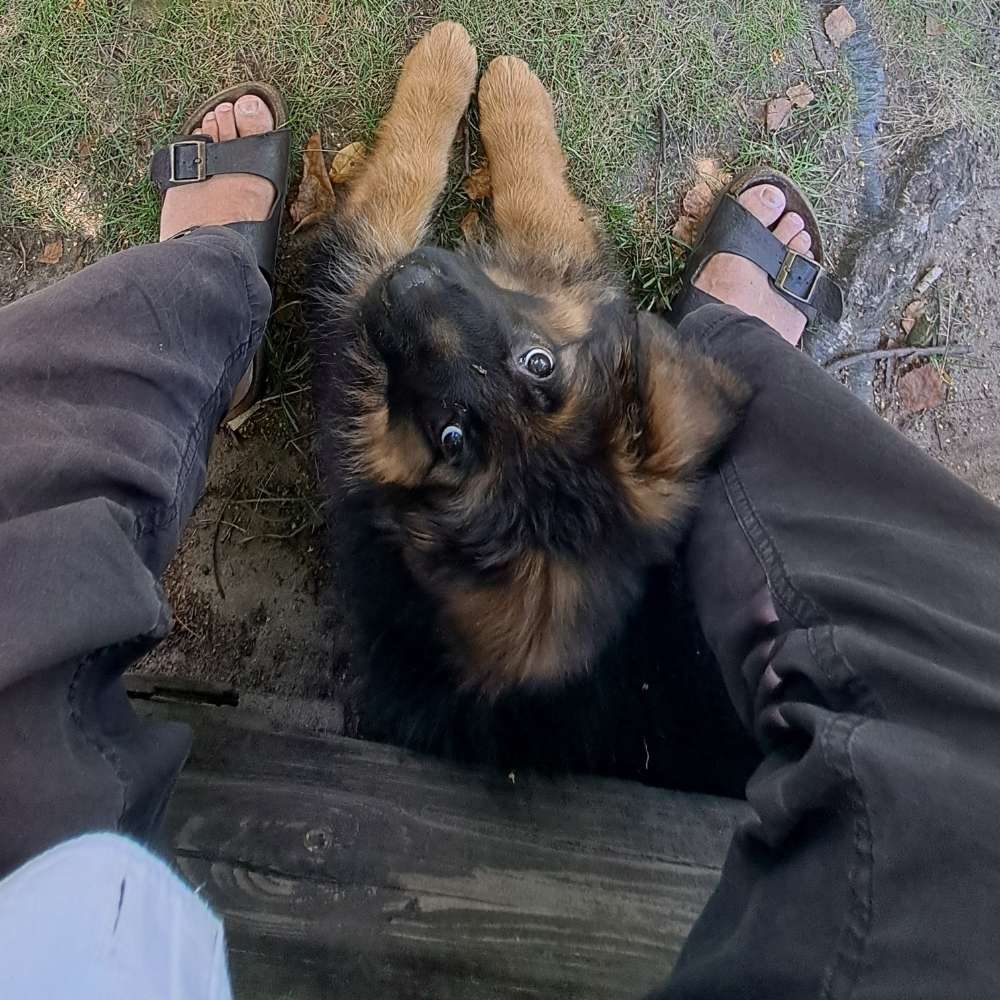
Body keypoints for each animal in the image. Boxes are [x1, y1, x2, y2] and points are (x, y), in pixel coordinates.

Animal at [308, 19, 752, 792]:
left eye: (452, 440)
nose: (405, 285)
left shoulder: (358, 313)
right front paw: (470, 63)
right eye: (537, 363)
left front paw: (468, 69)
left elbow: (458, 190)